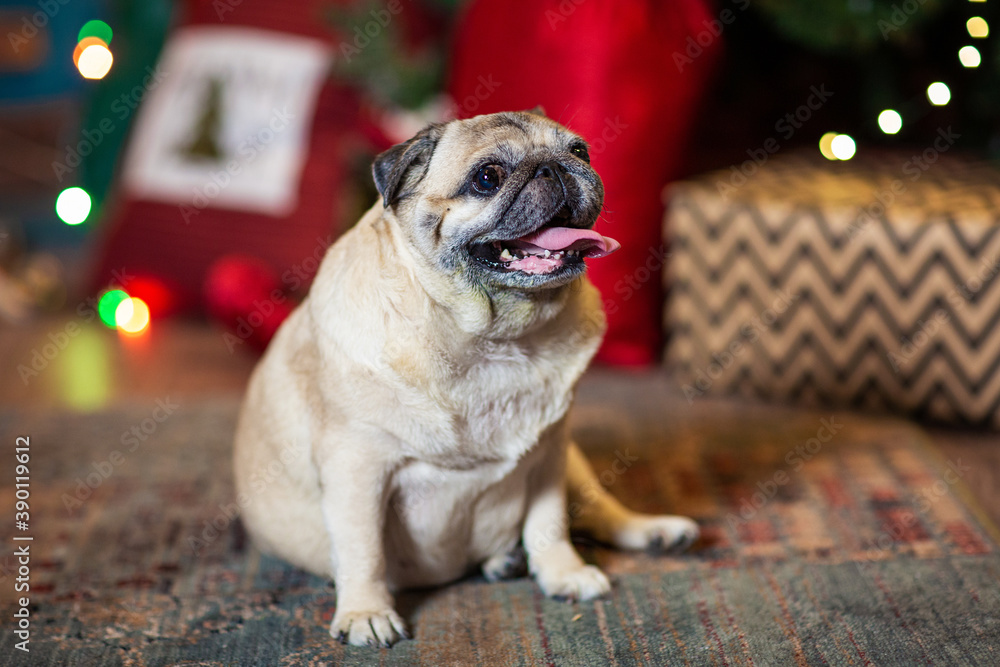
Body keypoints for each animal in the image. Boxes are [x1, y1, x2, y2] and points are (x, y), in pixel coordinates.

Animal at [234, 108, 700, 648]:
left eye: (580, 151)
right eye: (487, 178)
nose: (554, 167)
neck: (490, 337)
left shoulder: (550, 454)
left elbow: (549, 524)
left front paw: (562, 573)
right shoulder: (357, 468)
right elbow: (362, 549)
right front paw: (366, 612)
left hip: (575, 463)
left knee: (602, 510)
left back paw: (650, 532)